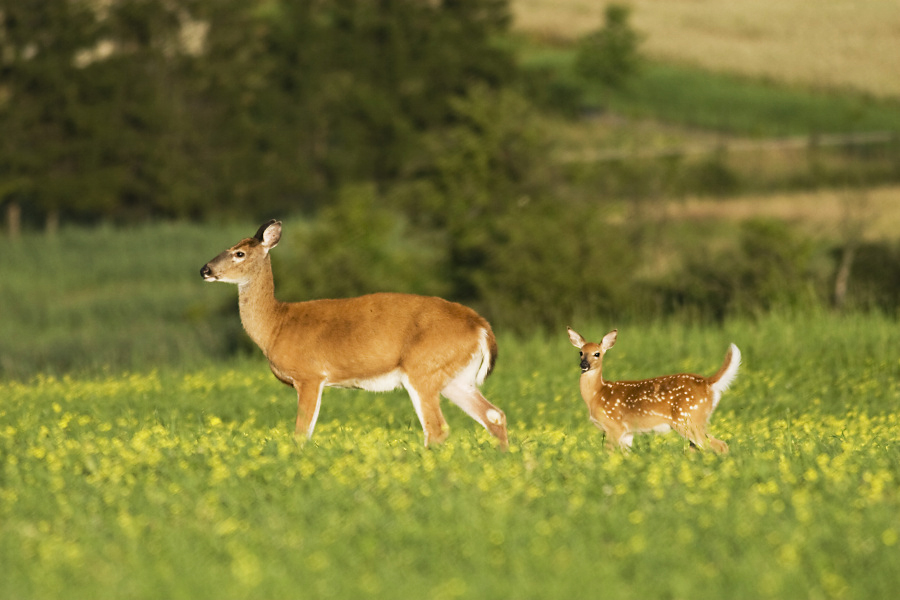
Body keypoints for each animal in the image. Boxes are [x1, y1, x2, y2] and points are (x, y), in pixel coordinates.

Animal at [200, 218, 506, 448]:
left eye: (239, 253)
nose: (205, 269)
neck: (276, 324)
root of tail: (480, 326)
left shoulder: (310, 375)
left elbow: (301, 433)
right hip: (455, 376)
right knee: (494, 415)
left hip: (423, 369)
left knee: (438, 429)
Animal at [568, 328, 740, 450]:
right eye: (580, 352)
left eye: (597, 353)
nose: (584, 364)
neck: (597, 394)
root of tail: (708, 382)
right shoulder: (628, 432)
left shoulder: (614, 426)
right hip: (696, 420)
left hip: (688, 418)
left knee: (718, 445)